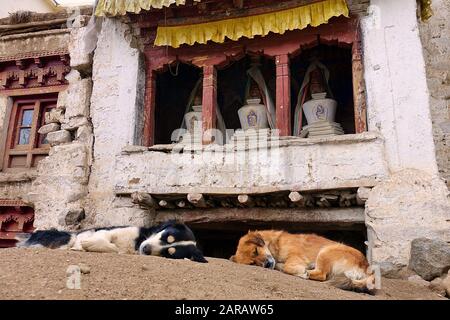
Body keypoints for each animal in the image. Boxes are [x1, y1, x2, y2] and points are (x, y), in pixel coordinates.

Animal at [230, 230, 374, 292]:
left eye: (255, 251)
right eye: (253, 263)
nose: (267, 265)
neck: (276, 243)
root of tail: (367, 268)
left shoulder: (296, 256)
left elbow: (288, 266)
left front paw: (301, 271)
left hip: (326, 250)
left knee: (322, 275)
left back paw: (306, 273)